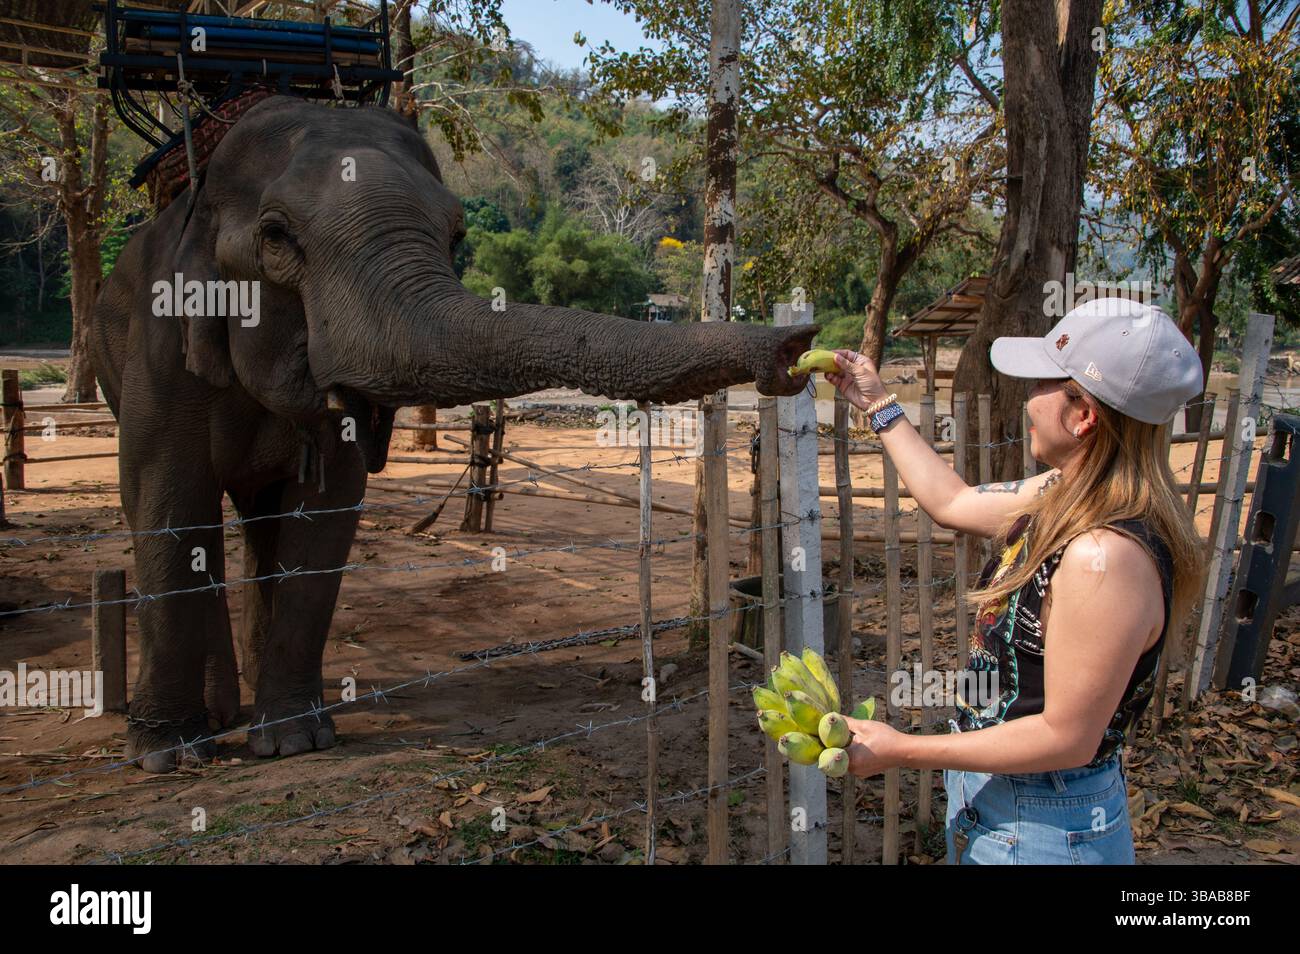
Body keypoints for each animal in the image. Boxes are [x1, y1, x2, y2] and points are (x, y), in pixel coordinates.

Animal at [90, 95, 818, 773]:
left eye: (457, 232)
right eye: (275, 236)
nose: (793, 347)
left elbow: (325, 515)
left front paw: (296, 742)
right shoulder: (162, 345)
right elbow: (167, 501)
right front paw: (167, 754)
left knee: (262, 522)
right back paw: (214, 719)